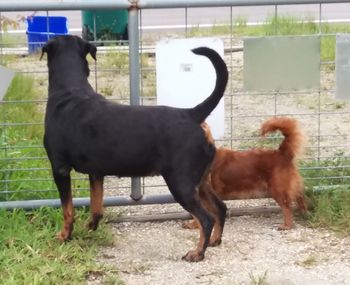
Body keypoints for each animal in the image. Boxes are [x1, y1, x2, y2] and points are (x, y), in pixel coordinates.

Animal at [41, 34, 227, 260]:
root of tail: (192, 114)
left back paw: (198, 252)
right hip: (200, 180)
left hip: (181, 183)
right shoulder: (96, 172)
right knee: (221, 207)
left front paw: (64, 236)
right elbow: (96, 206)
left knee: (206, 219)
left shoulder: (59, 169)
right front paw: (91, 226)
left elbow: (68, 209)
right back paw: (215, 240)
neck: (70, 91)